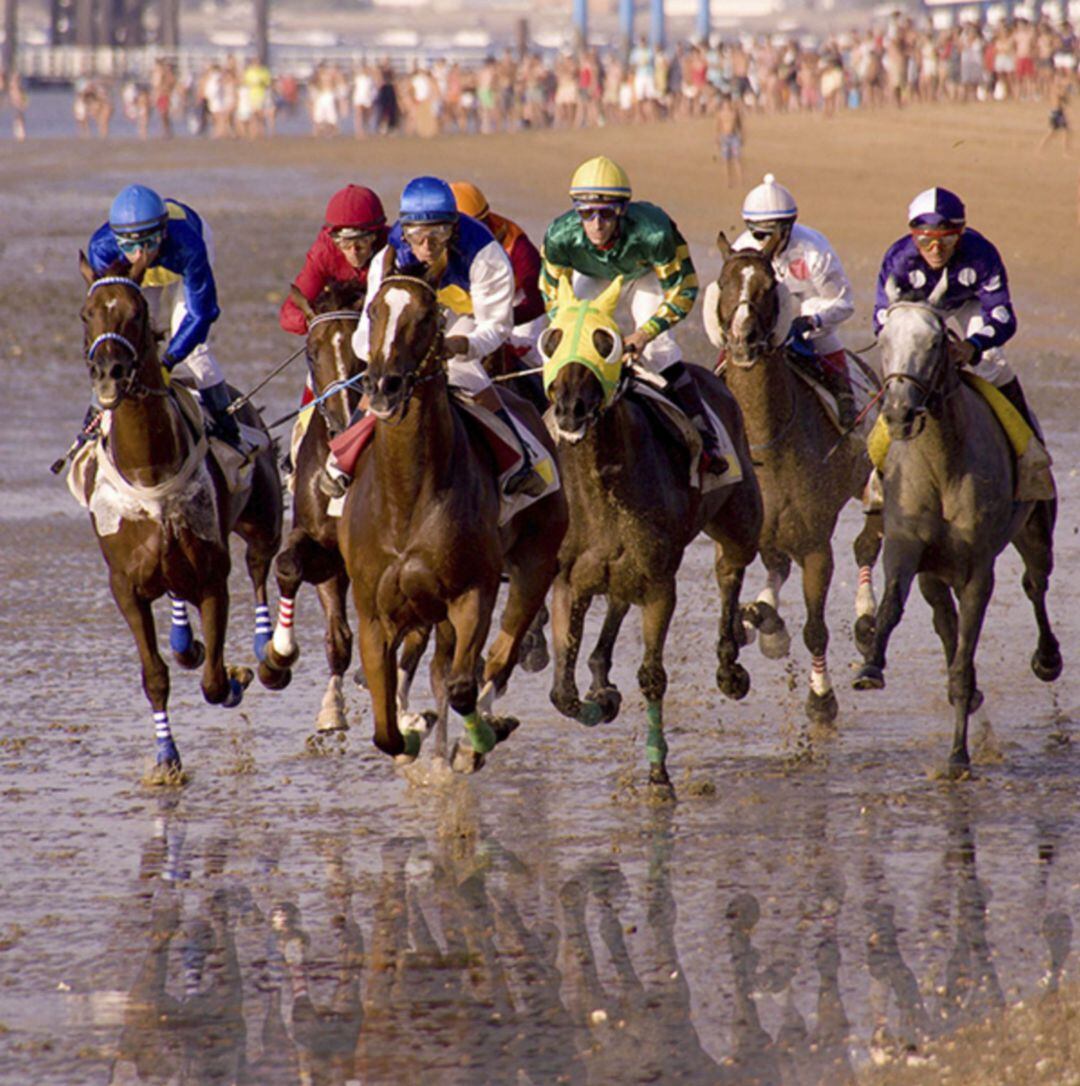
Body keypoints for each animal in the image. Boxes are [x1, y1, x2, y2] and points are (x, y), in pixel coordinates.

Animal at [78, 251, 282, 781]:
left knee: (260, 566)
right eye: (87, 314)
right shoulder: (125, 587)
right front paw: (166, 758)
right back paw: (185, 639)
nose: (108, 374)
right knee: (180, 619)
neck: (151, 472)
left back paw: (264, 650)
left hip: (262, 520)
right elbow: (155, 675)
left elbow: (214, 681)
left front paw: (235, 677)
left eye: (136, 313)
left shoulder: (212, 576)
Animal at [341, 266, 569, 768]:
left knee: (498, 659)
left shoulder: (472, 591)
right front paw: (412, 731)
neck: (407, 499)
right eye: (373, 309)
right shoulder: (374, 613)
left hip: (535, 563)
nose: (383, 386)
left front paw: (477, 740)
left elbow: (465, 684)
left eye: (428, 316)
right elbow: (385, 729)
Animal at [543, 275, 760, 794]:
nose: (570, 409)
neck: (603, 488)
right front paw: (601, 699)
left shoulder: (661, 582)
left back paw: (730, 664)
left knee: (729, 571)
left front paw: (659, 773)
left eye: (605, 341)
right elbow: (563, 693)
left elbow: (652, 676)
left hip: (742, 520)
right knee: (618, 605)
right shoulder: (569, 581)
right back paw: (602, 677)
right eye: (552, 338)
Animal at [708, 235, 882, 729]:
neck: (765, 445)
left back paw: (866, 617)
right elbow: (738, 606)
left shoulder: (816, 545)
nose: (743, 340)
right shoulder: (735, 538)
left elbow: (816, 630)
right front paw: (745, 641)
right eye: (724, 281)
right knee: (776, 565)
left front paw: (821, 697)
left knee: (869, 540)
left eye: (769, 286)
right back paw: (765, 616)